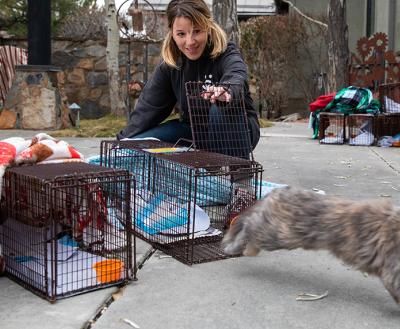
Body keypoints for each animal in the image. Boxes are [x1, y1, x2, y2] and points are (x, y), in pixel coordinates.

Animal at [222, 186, 400, 304]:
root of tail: (279, 191)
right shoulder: (393, 271)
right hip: (277, 234)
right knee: (249, 225)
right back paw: (235, 246)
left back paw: (248, 249)